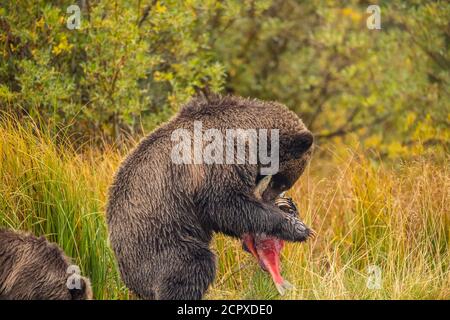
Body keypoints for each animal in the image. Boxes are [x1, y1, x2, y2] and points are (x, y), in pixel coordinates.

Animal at [107, 94, 314, 300]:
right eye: (281, 182)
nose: (269, 197)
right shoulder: (218, 160)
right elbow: (226, 204)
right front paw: (298, 228)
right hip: (161, 239)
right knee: (191, 267)